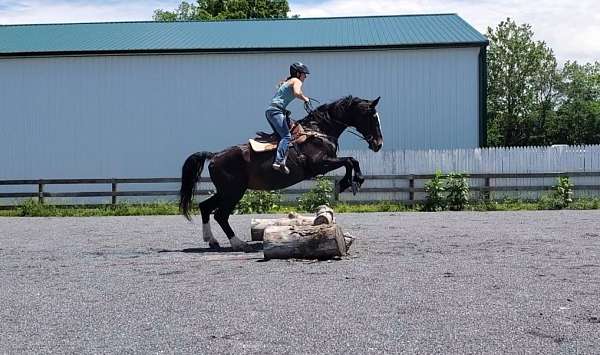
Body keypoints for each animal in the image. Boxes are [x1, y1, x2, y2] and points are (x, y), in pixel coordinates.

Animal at [179, 96, 384, 252]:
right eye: (372, 117)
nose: (378, 144)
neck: (318, 131)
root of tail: (215, 156)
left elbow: (351, 160)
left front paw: (350, 182)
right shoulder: (320, 165)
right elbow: (350, 160)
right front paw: (350, 182)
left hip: (226, 191)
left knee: (205, 207)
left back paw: (212, 241)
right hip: (233, 192)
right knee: (220, 215)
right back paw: (239, 244)